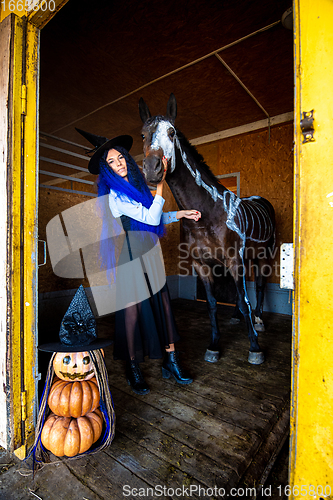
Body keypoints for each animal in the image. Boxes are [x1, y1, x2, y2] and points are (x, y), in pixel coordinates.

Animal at [137, 93, 274, 364]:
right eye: (143, 134)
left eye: (171, 132)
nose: (151, 168)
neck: (208, 212)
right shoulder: (202, 264)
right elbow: (212, 303)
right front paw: (214, 345)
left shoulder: (234, 260)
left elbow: (245, 299)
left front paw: (255, 348)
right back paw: (238, 318)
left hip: (264, 256)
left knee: (260, 286)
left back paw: (259, 321)